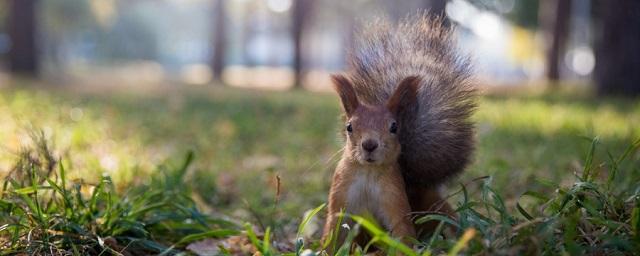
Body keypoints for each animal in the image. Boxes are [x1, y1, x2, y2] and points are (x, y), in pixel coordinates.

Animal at [320, 14, 476, 250]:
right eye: (349, 127)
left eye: (394, 127)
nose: (369, 145)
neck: (368, 173)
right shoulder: (340, 195)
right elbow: (333, 230)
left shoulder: (394, 198)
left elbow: (402, 230)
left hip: (435, 207)